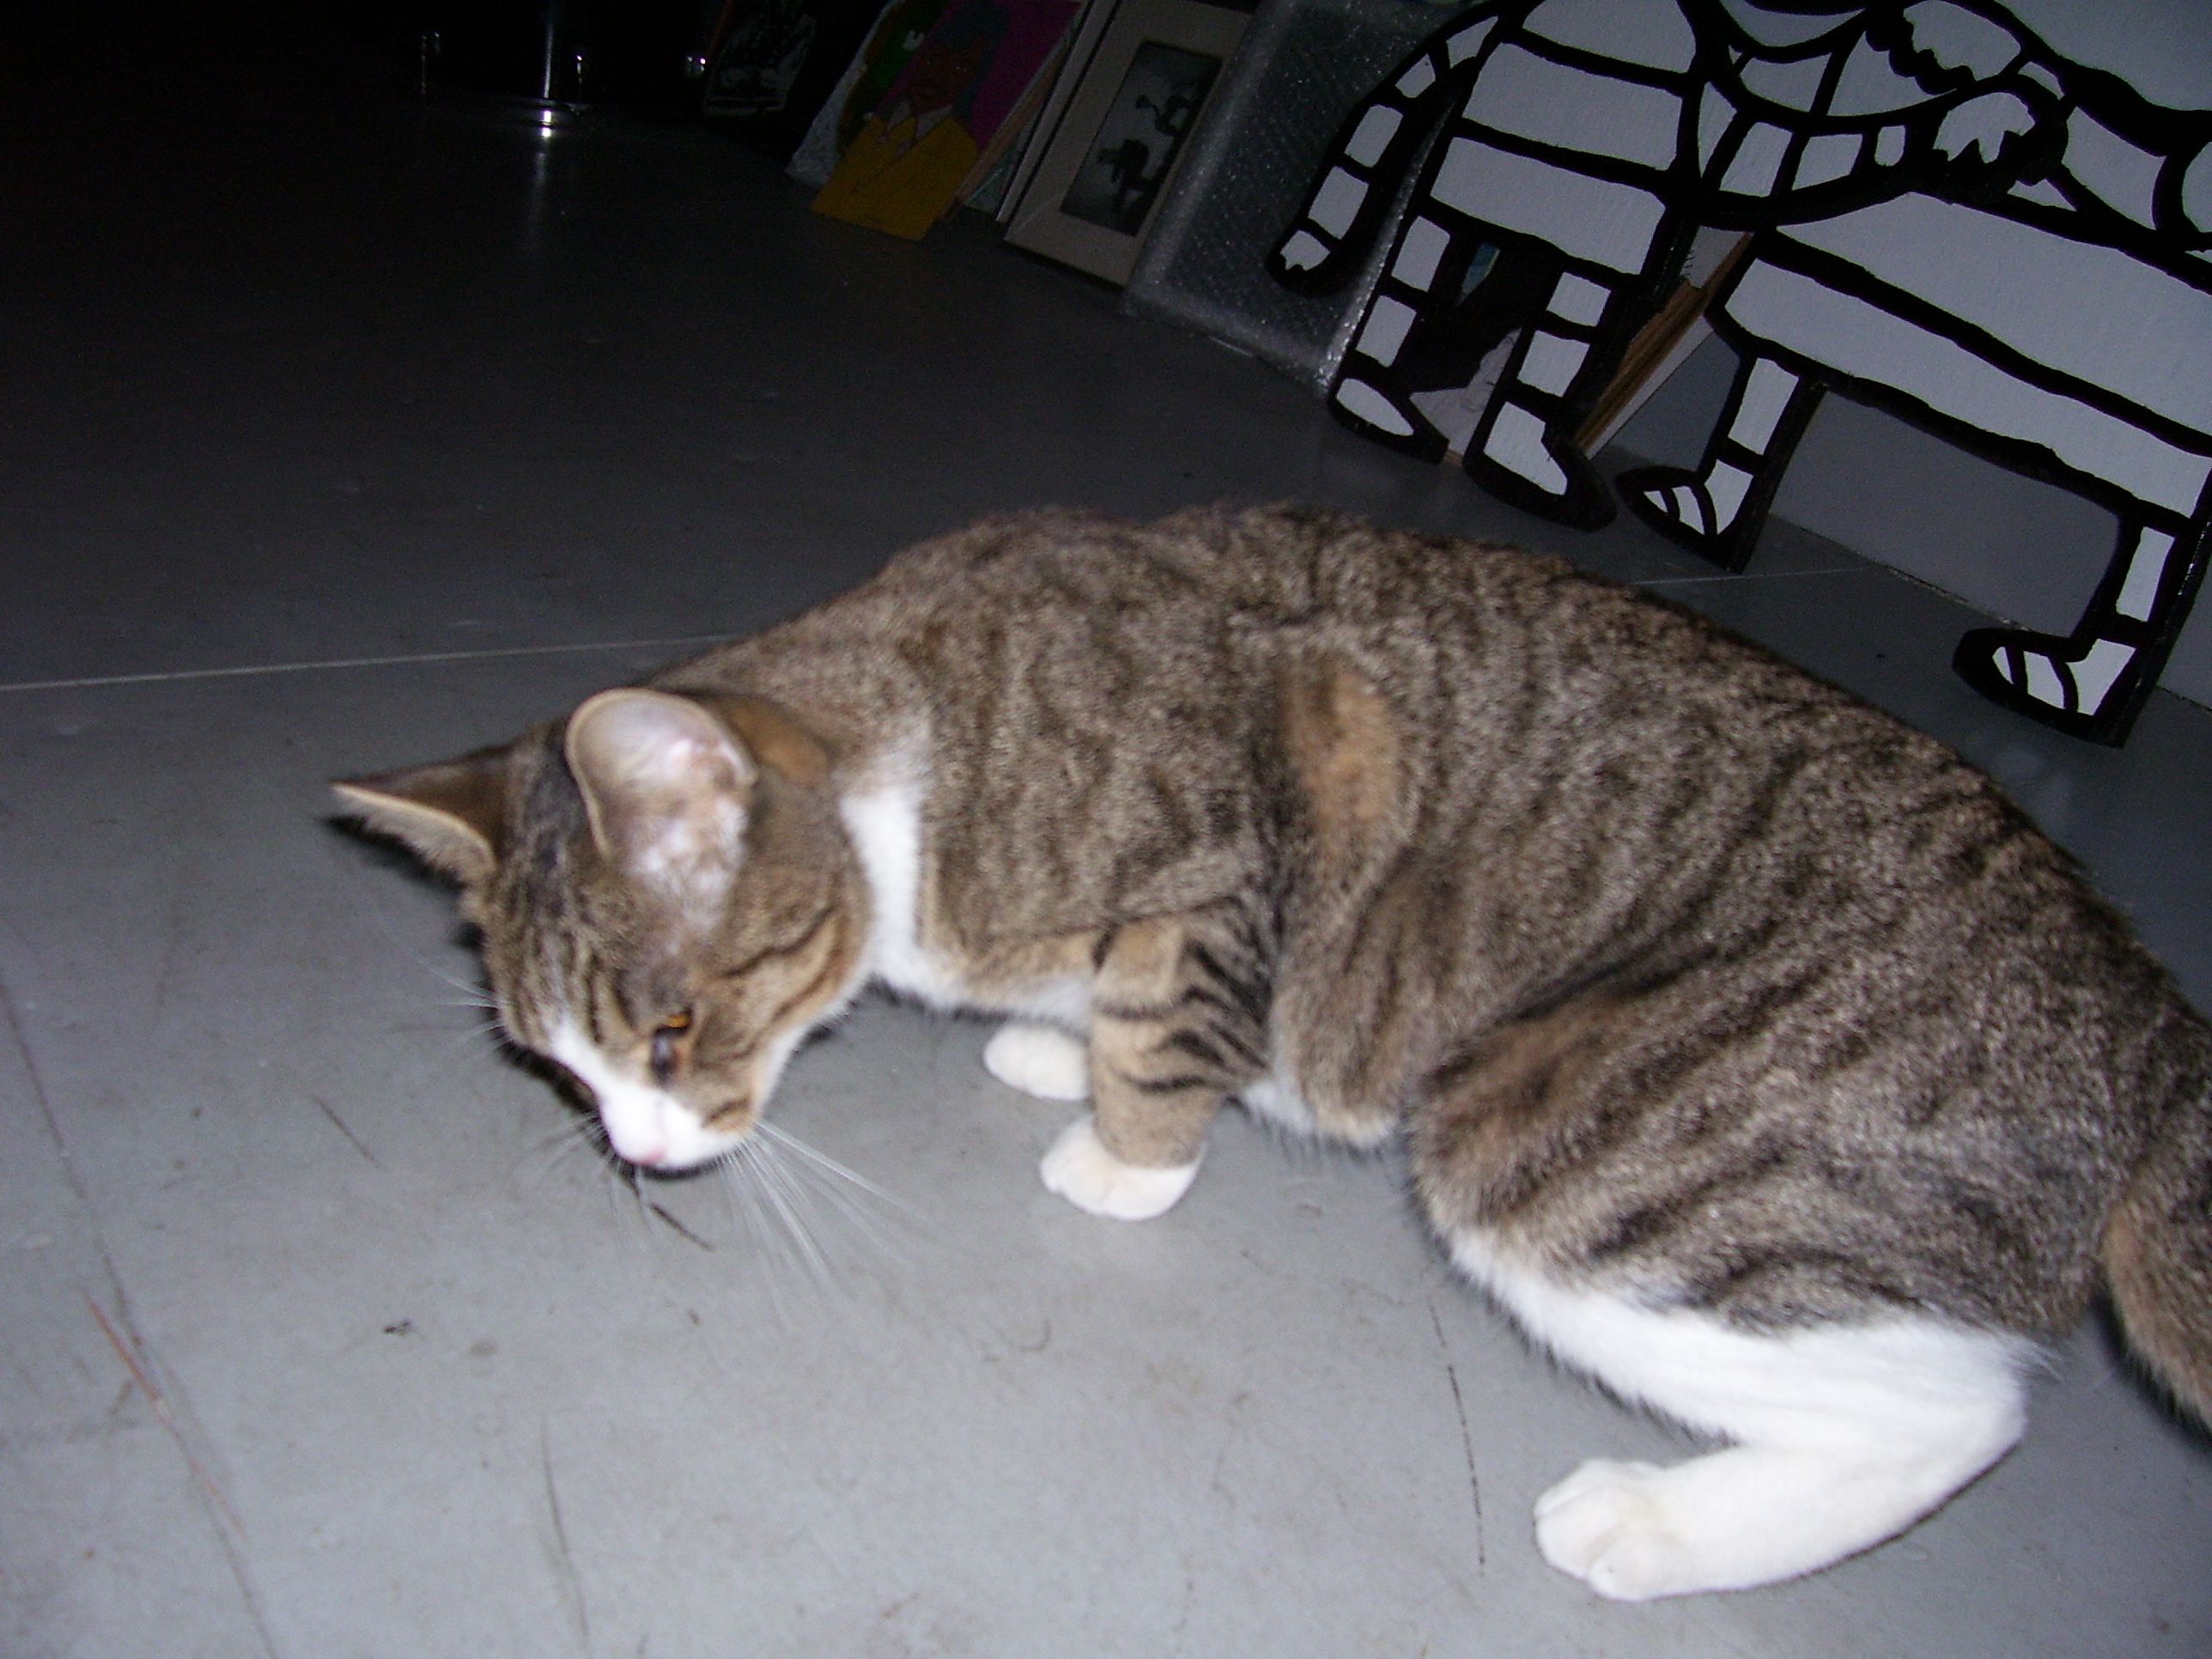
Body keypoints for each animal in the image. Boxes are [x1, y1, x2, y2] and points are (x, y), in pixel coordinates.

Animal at [331, 506, 2212, 1601]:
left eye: (668, 1032)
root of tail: (2140, 1013)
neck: (918, 760)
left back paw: (1645, 1528)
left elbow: (1167, 1039)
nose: (643, 1157)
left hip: (1579, 1147)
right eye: (563, 1071)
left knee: (1959, 1413)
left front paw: (1119, 1153)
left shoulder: (1219, 860)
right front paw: (1050, 1051)